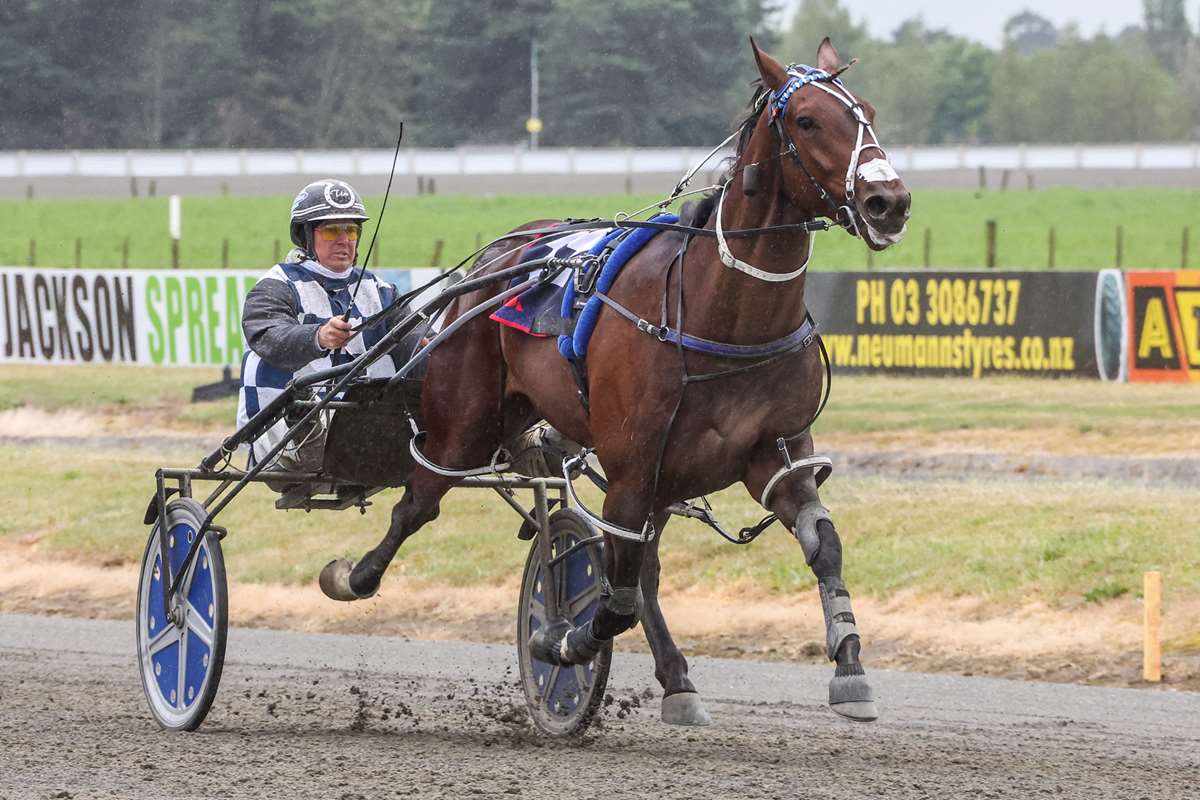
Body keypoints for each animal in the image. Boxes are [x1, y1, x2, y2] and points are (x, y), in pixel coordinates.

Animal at [320, 37, 910, 724]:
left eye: (868, 111)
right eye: (808, 120)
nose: (889, 202)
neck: (719, 312)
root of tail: (498, 254)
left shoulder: (775, 453)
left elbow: (822, 543)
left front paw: (850, 667)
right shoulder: (632, 465)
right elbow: (615, 593)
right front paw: (560, 639)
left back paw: (678, 681)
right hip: (465, 422)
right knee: (418, 501)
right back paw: (352, 577)